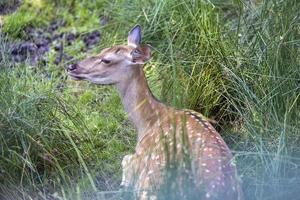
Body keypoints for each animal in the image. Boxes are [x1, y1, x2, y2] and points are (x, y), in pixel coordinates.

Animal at [67, 24, 243, 199]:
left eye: (107, 60)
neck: (147, 122)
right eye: (102, 50)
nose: (71, 67)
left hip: (151, 185)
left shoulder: (138, 159)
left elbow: (125, 159)